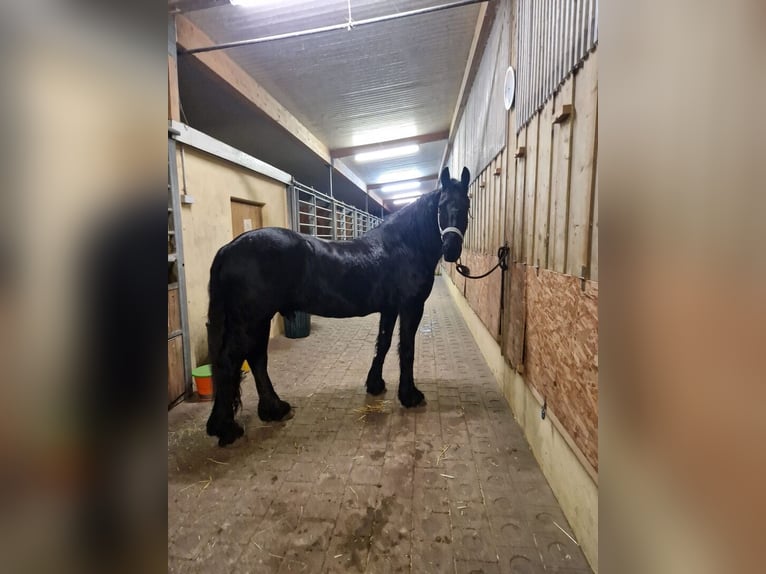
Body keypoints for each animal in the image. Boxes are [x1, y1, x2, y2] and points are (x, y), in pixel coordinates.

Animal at [205, 166, 471, 446]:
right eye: (441, 206)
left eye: (466, 204)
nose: (451, 249)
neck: (403, 245)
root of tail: (228, 248)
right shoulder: (411, 307)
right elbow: (407, 349)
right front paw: (409, 396)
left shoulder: (390, 309)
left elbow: (384, 344)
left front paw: (375, 384)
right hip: (251, 320)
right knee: (232, 361)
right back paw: (227, 428)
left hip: (258, 320)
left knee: (256, 358)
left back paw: (273, 410)